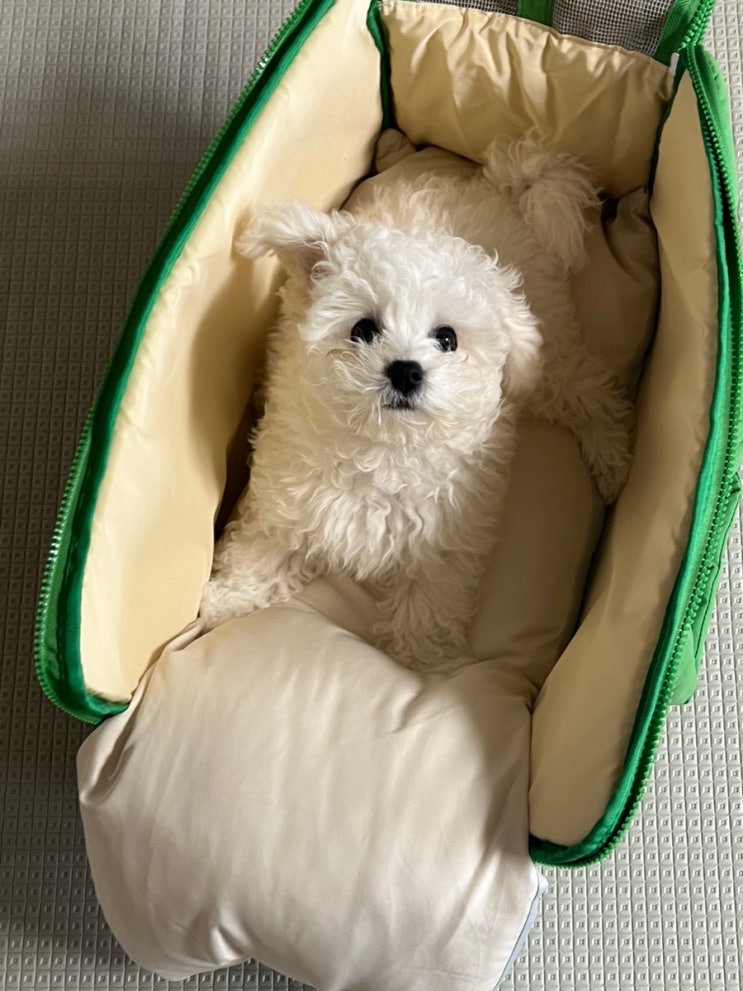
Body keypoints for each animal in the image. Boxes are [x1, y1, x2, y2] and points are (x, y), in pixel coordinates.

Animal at [198, 137, 633, 671]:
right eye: (363, 329)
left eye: (447, 338)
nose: (406, 370)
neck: (383, 448)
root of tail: (502, 189)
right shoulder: (287, 499)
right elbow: (262, 547)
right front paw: (229, 600)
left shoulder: (443, 539)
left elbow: (429, 594)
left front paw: (416, 656)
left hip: (547, 362)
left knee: (591, 391)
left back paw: (613, 460)